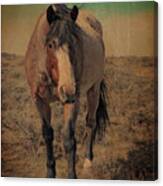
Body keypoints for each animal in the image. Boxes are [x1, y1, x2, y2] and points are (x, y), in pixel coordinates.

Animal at [24, 4, 109, 179]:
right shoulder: (39, 100)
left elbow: (69, 139)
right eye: (50, 44)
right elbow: (47, 134)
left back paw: (88, 161)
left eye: (74, 44)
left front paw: (71, 176)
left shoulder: (73, 102)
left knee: (91, 122)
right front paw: (50, 172)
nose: (69, 90)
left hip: (94, 89)